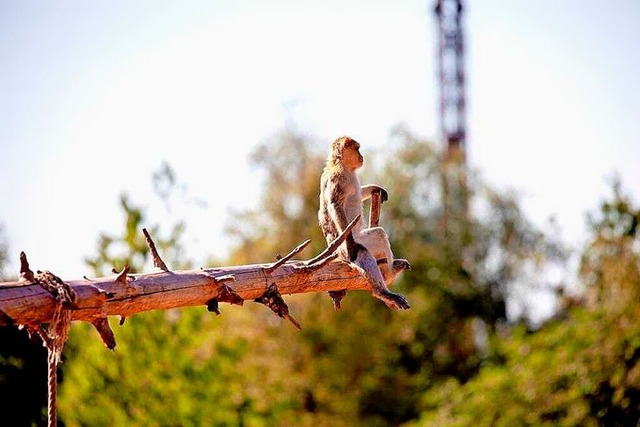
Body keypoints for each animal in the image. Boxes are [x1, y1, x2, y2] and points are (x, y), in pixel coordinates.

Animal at [318, 137, 410, 310]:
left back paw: (389, 271)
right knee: (363, 249)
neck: (338, 163)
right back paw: (382, 291)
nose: (362, 156)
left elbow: (359, 193)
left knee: (379, 235)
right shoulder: (338, 177)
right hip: (345, 249)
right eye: (357, 148)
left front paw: (377, 188)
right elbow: (335, 205)